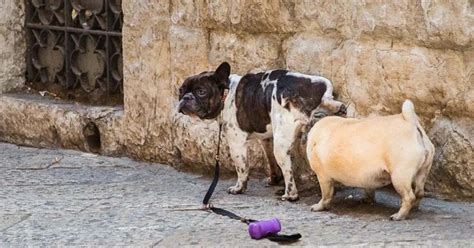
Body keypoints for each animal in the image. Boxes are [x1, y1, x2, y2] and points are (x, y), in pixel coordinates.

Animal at [178, 62, 344, 202]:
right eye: (180, 91)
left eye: (201, 91)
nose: (185, 97)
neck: (226, 93)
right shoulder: (266, 139)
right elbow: (270, 160)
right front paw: (273, 179)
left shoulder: (236, 143)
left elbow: (242, 168)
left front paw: (239, 188)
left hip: (281, 144)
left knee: (288, 173)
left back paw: (290, 195)